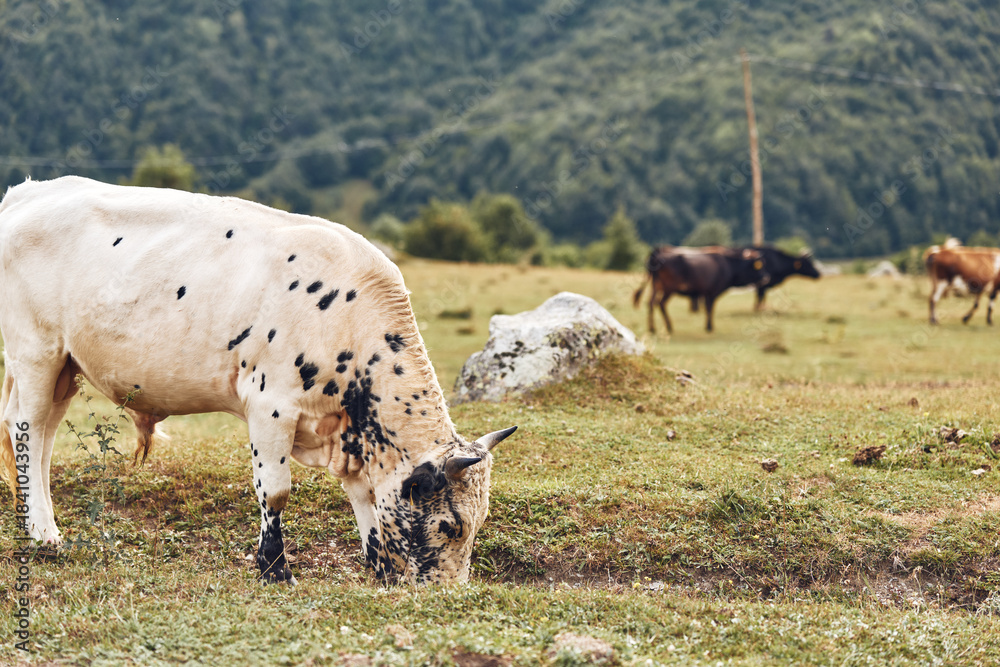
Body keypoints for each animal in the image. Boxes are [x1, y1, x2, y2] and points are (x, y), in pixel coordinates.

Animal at [0, 176, 517, 585]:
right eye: (451, 525)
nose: (450, 592)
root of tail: (30, 192)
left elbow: (364, 494)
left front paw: (377, 565)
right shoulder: (271, 404)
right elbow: (276, 489)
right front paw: (274, 568)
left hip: (66, 366)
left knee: (43, 436)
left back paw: (39, 525)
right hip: (35, 352)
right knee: (27, 429)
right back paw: (44, 534)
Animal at [632, 246, 768, 334]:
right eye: (757, 266)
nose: (766, 278)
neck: (729, 265)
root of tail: (656, 255)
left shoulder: (706, 293)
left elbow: (708, 308)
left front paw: (708, 326)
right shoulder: (712, 292)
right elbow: (710, 309)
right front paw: (709, 327)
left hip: (657, 285)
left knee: (651, 303)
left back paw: (653, 328)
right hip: (669, 288)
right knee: (660, 303)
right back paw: (668, 327)